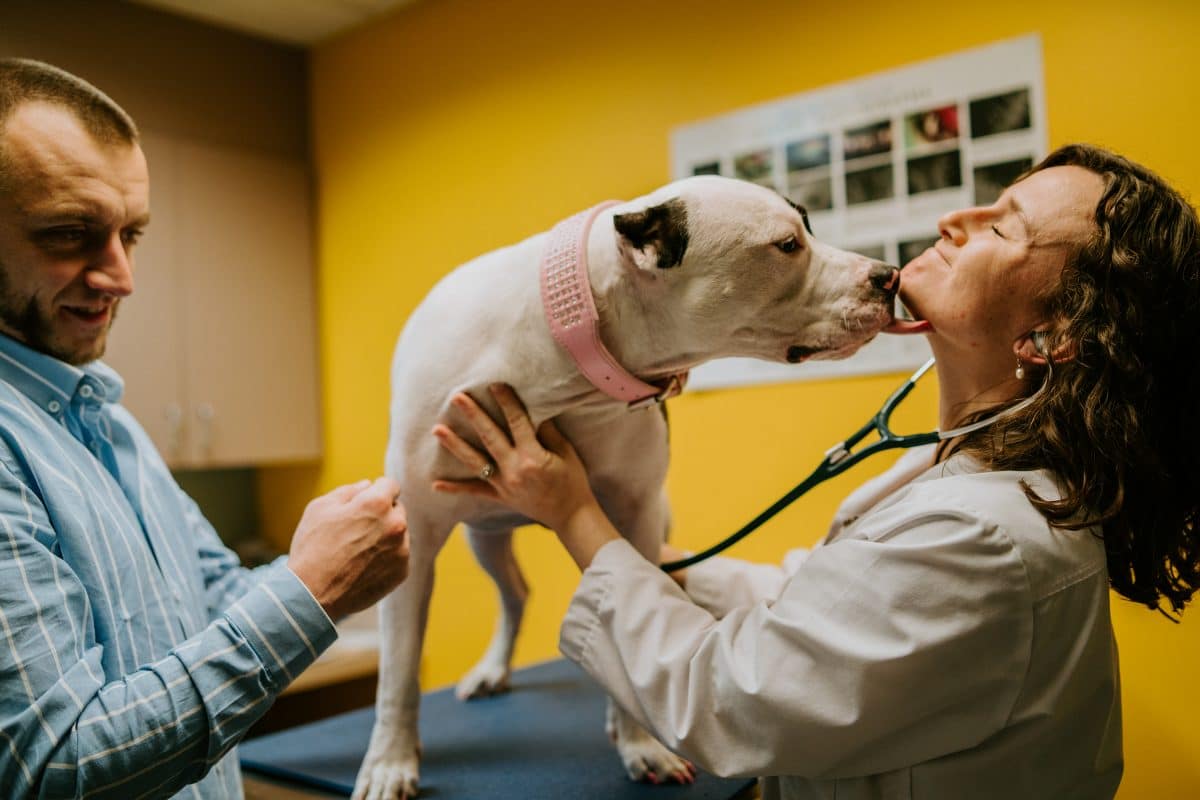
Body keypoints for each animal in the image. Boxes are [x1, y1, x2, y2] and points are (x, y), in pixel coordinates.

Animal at [350, 176, 897, 800]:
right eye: (787, 244)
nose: (890, 275)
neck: (564, 352)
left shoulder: (633, 515)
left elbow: (628, 620)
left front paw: (640, 745)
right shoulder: (415, 532)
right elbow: (398, 671)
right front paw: (390, 761)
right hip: (482, 531)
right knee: (512, 594)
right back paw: (491, 670)